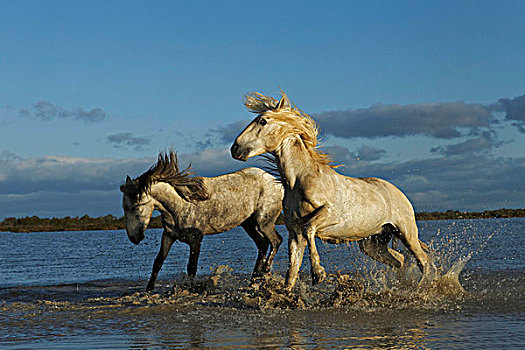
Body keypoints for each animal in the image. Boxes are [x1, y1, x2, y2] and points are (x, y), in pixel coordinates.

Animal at [119, 149, 282, 292]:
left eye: (134, 207)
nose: (134, 238)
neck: (180, 205)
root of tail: (276, 181)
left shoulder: (195, 239)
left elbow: (192, 267)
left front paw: (190, 289)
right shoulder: (168, 236)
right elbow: (158, 262)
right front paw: (149, 289)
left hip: (263, 222)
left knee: (276, 241)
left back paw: (265, 274)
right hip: (248, 224)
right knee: (262, 244)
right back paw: (253, 281)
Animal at [231, 91, 436, 292]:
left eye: (263, 121)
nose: (235, 149)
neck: (299, 181)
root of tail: (400, 194)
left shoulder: (331, 214)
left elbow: (309, 227)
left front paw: (318, 273)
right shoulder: (294, 232)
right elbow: (292, 270)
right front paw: (287, 293)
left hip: (406, 233)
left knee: (423, 260)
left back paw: (420, 287)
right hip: (373, 243)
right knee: (399, 260)